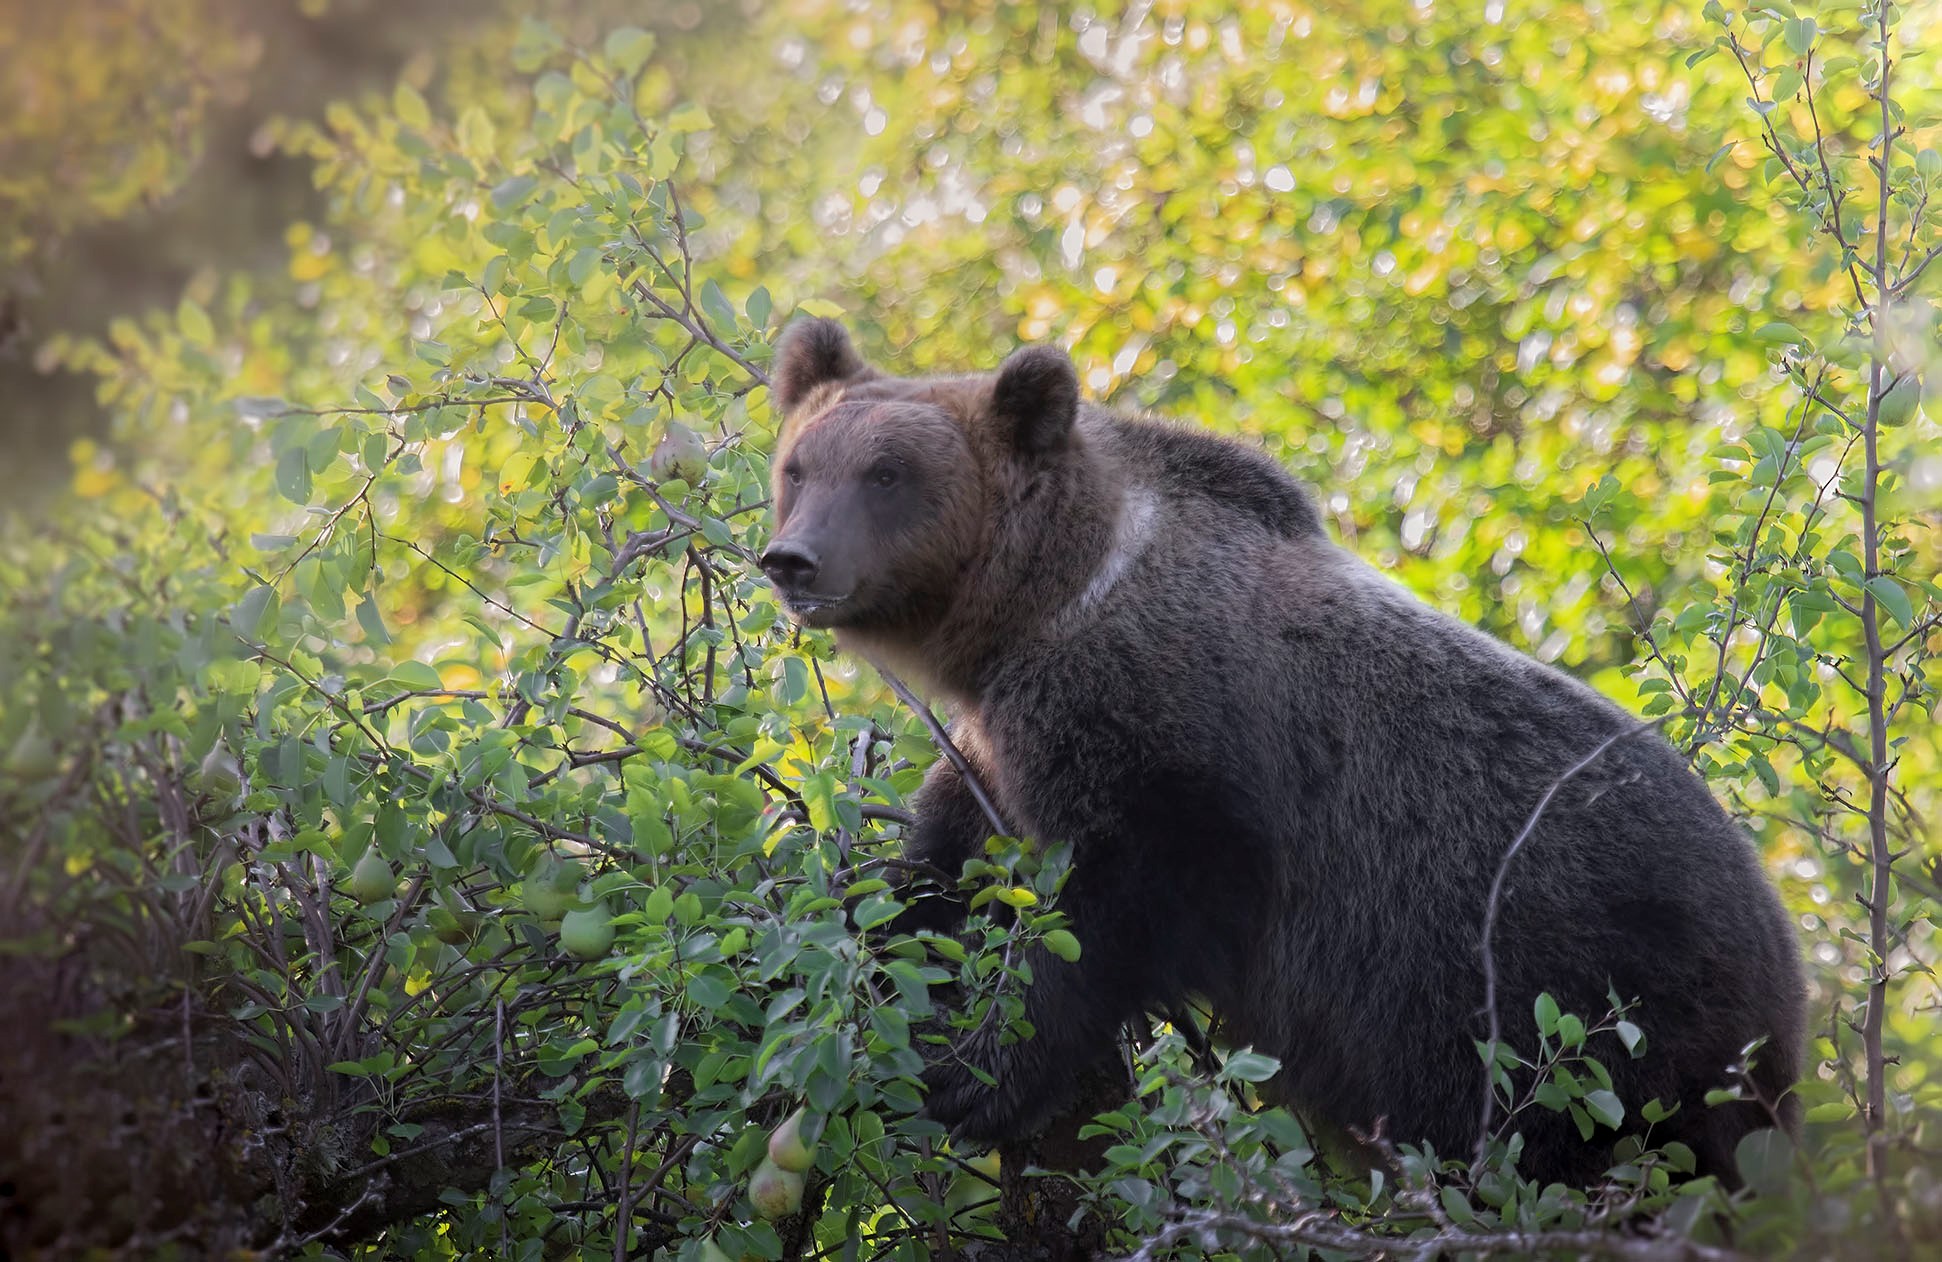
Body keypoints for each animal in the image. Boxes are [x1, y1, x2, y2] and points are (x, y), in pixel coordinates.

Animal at [759, 317, 1805, 1188]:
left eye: (888, 474)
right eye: (800, 467)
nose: (793, 559)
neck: (1034, 619)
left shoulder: (1185, 768)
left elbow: (1105, 919)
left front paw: (977, 1074)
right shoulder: (1007, 743)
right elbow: (948, 854)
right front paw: (870, 911)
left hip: (1596, 1012)